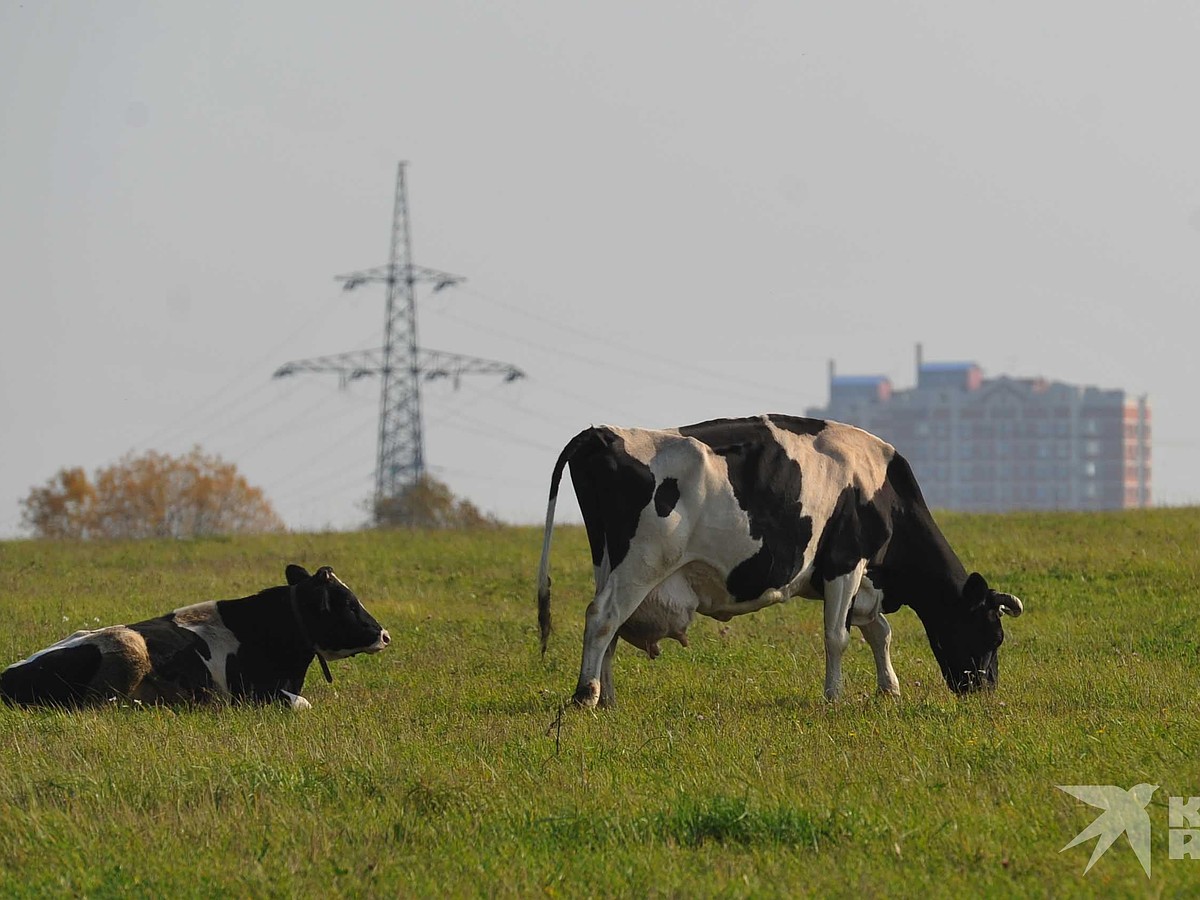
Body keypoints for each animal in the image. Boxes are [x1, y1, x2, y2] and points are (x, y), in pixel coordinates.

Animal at [0, 564, 388, 710]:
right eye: (349, 604)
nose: (385, 634)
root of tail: (8, 675)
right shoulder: (252, 694)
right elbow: (301, 704)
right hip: (127, 645)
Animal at [540, 417, 1027, 710]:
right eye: (993, 634)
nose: (986, 691)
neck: (882, 488)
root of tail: (603, 433)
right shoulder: (845, 562)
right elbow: (838, 636)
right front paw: (834, 698)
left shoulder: (864, 579)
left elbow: (879, 631)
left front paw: (888, 689)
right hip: (643, 561)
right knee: (602, 618)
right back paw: (586, 696)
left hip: (608, 561)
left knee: (611, 629)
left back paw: (609, 698)